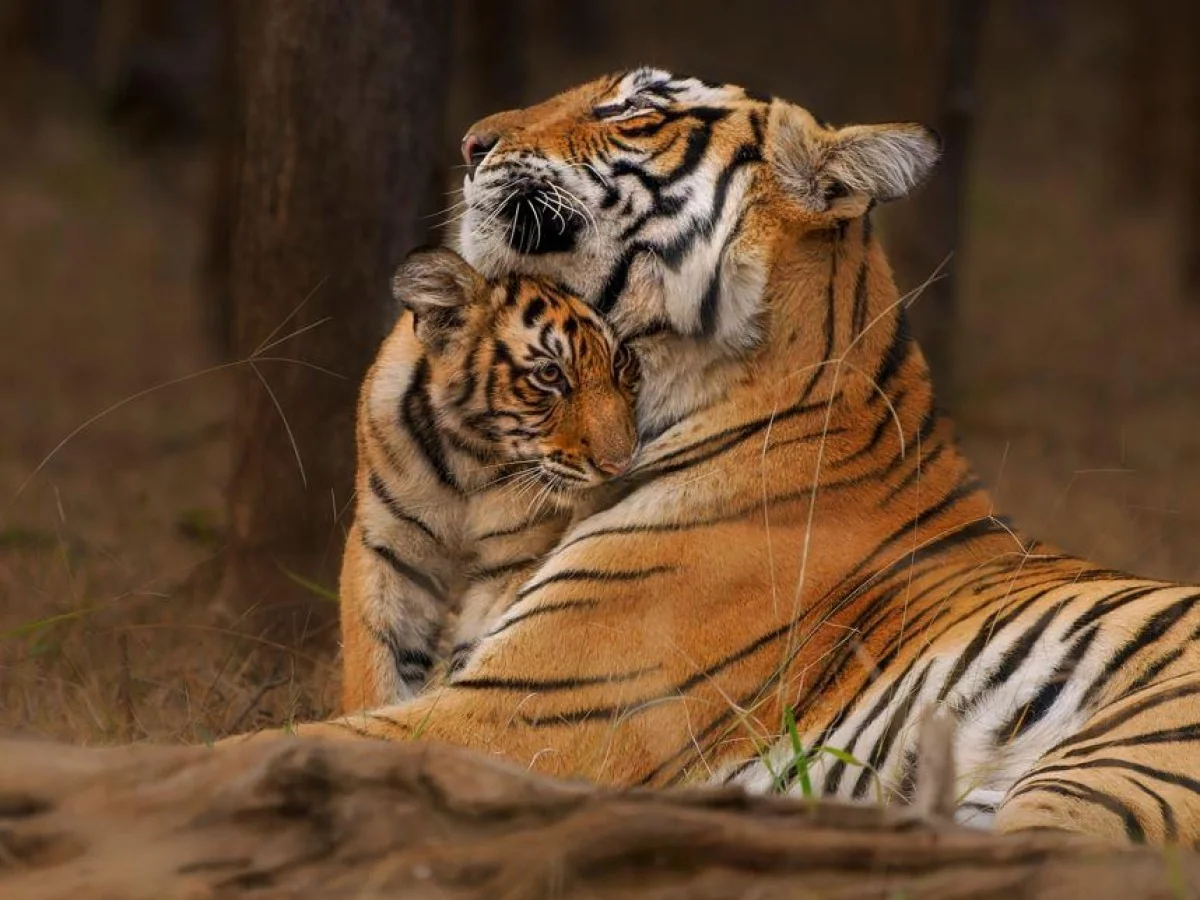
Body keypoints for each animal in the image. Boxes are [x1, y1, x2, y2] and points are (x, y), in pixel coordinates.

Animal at [338, 246, 640, 713]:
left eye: (621, 362)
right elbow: (375, 662)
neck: (466, 462)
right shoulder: (387, 549)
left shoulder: (511, 560)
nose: (620, 464)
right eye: (550, 374)